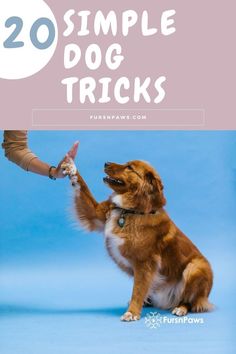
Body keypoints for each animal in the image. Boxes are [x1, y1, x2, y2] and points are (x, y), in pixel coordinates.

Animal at [61, 158, 213, 320]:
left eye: (129, 168)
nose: (106, 163)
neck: (130, 211)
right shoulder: (95, 214)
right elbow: (82, 186)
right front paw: (71, 167)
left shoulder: (144, 263)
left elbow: (138, 290)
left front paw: (132, 312)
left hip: (196, 267)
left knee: (192, 300)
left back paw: (180, 308)